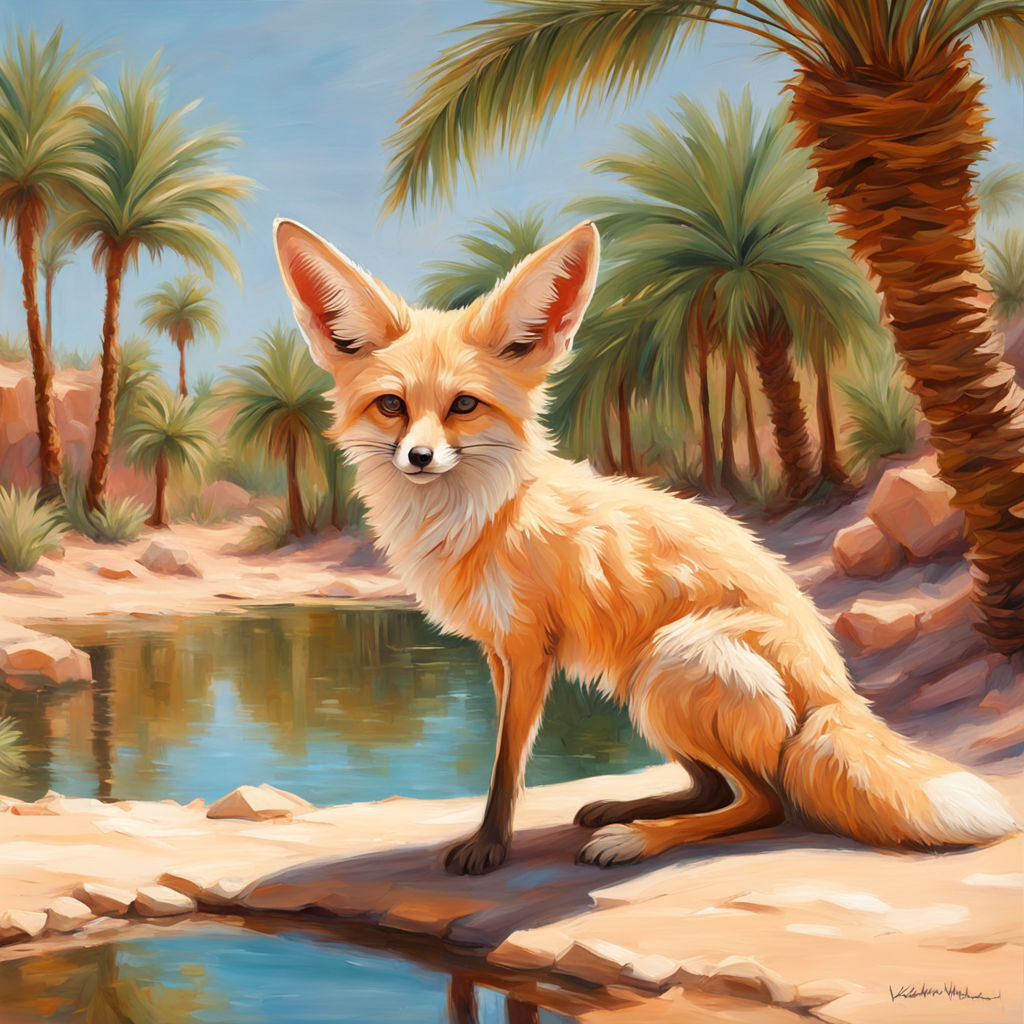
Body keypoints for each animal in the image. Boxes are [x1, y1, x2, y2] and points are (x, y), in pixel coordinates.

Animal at [273, 216, 1018, 875]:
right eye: (392, 407)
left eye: (463, 406)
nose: (420, 458)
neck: (487, 514)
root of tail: (836, 689)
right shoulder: (498, 652)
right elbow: (504, 758)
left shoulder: (530, 650)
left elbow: (507, 766)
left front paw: (489, 849)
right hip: (639, 683)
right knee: (720, 787)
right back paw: (625, 810)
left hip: (673, 661)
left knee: (766, 802)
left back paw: (635, 840)